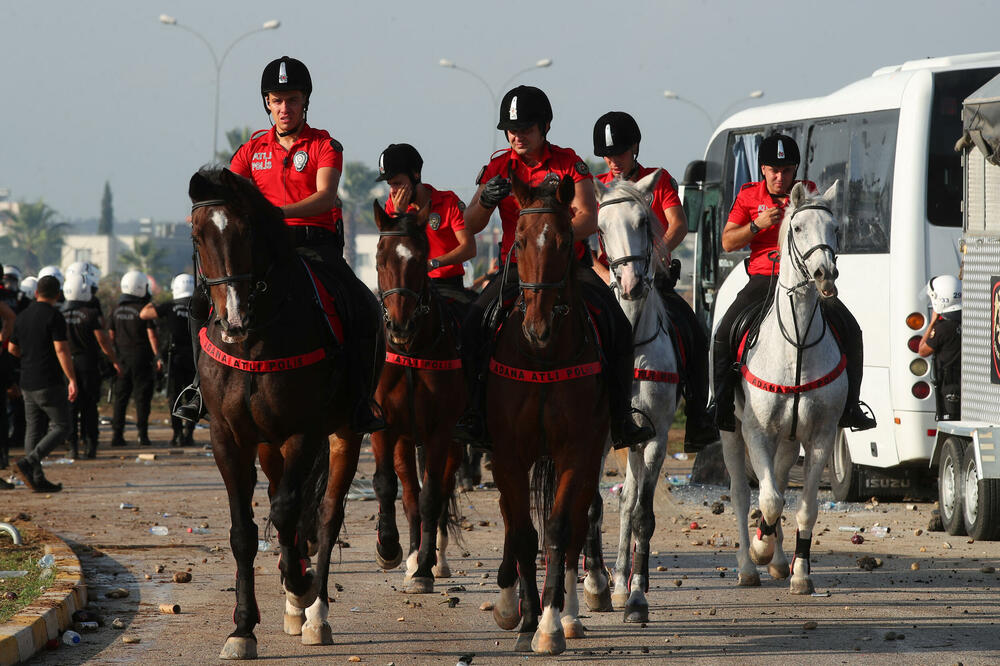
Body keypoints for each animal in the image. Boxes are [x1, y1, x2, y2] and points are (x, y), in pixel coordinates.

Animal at [187, 169, 382, 656]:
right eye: (198, 236)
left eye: (247, 231)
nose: (233, 321)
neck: (258, 338)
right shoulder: (228, 438)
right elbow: (245, 531)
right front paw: (242, 628)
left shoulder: (303, 433)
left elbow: (289, 513)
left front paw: (301, 585)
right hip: (267, 445)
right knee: (285, 502)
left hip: (345, 433)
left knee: (325, 516)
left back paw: (315, 613)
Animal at [486, 170, 608, 652]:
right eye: (518, 242)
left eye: (562, 241)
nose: (536, 328)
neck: (542, 357)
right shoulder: (506, 453)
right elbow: (521, 531)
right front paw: (525, 619)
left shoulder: (576, 451)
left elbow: (557, 531)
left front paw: (550, 625)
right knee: (510, 517)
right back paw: (512, 604)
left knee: (576, 528)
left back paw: (570, 613)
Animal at [724, 180, 848, 592]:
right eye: (797, 227)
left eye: (835, 228)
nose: (825, 275)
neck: (796, 345)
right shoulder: (756, 431)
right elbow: (769, 501)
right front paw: (760, 549)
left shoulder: (821, 435)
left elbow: (804, 508)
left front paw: (800, 573)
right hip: (732, 432)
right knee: (743, 493)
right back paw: (748, 566)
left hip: (789, 439)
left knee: (776, 480)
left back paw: (778, 561)